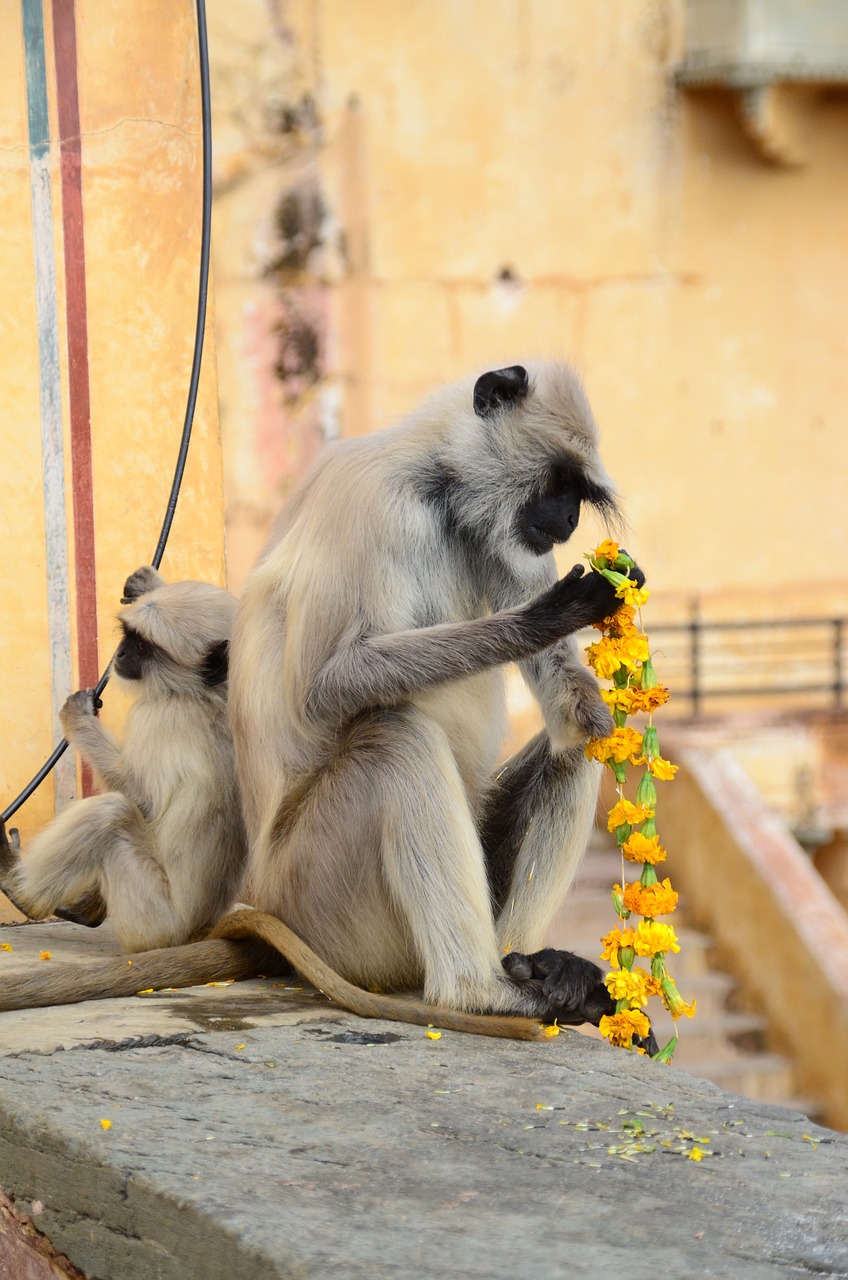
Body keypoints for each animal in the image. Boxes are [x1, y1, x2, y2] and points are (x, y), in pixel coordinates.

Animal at [0, 568, 247, 952]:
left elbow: (143, 800)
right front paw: (145, 584)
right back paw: (83, 908)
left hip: (148, 918)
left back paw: (21, 891)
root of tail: (196, 930)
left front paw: (78, 717)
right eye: (130, 637)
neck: (206, 694)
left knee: (111, 812)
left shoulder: (161, 717)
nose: (120, 652)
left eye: (143, 647)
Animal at [229, 358, 648, 1029]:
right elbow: (322, 688)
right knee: (395, 736)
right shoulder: (372, 500)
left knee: (578, 744)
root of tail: (261, 892)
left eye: (577, 495)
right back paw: (477, 991)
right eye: (558, 482)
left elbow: (574, 719)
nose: (568, 521)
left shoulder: (506, 537)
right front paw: (551, 615)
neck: (444, 498)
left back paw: (535, 972)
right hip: (319, 894)